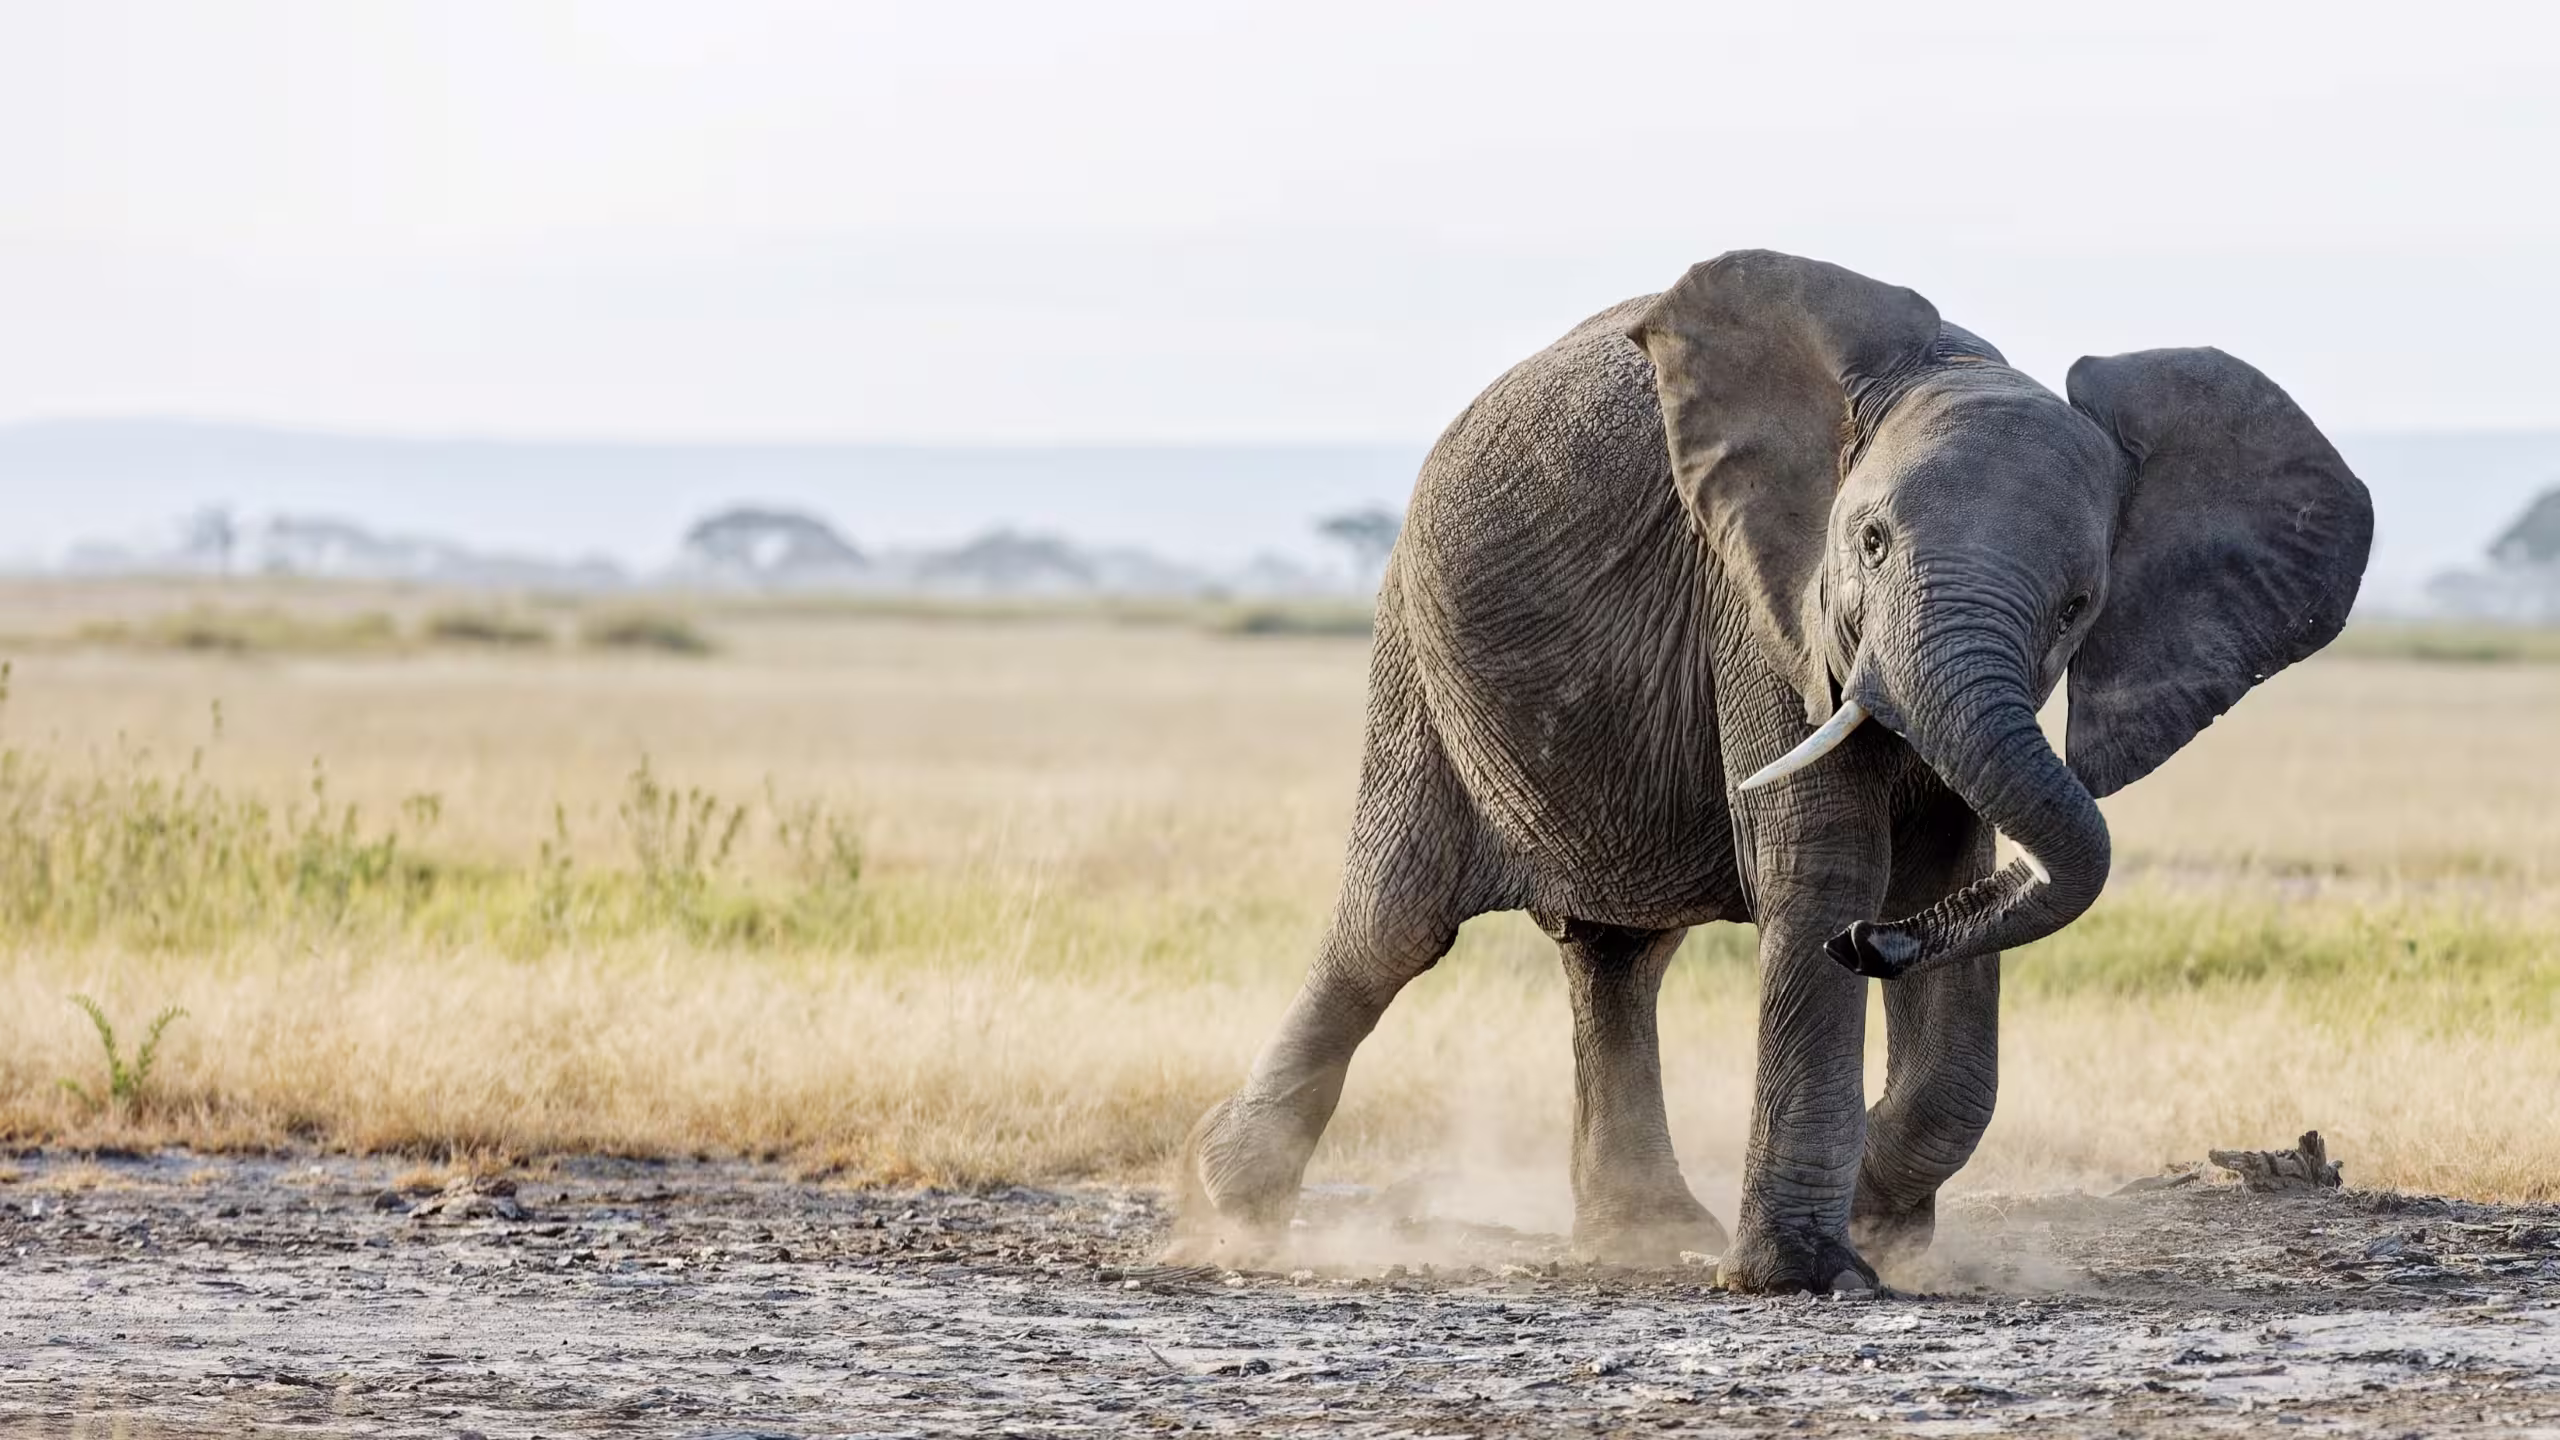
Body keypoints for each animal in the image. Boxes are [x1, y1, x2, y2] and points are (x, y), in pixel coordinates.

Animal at [1174, 250, 2373, 1293]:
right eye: (1871, 542)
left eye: (2079, 604)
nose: (1871, 947)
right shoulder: (1760, 604)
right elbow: (1819, 865)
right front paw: (1806, 1272)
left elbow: (1951, 881)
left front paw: (1879, 1223)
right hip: (1416, 663)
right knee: (1393, 928)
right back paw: (1228, 1205)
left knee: (1615, 956)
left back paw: (1648, 1234)